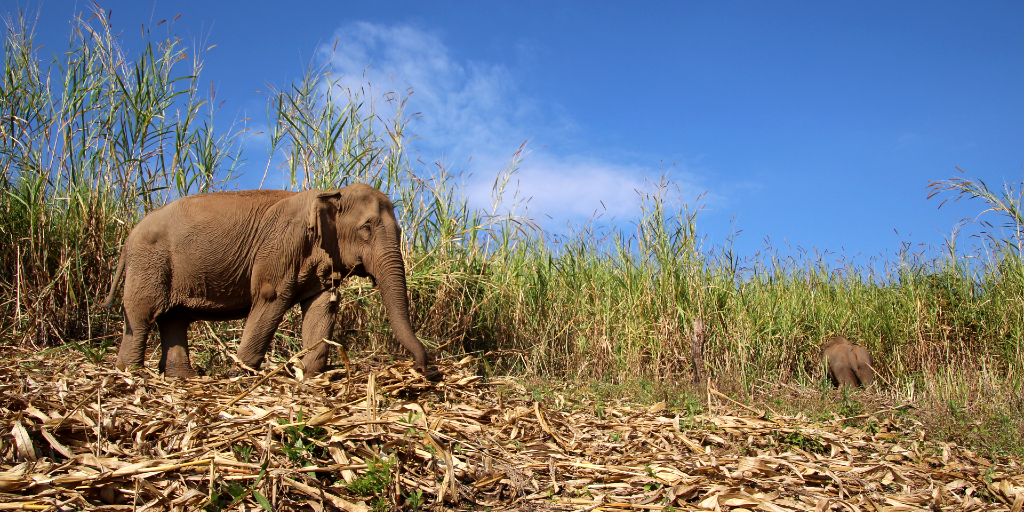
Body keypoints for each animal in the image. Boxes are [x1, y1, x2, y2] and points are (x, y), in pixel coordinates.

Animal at [100, 185, 428, 380]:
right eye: (367, 228)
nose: (422, 369)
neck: (329, 191)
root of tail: (129, 236)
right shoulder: (282, 245)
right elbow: (271, 297)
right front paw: (242, 373)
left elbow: (322, 308)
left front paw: (308, 374)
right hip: (150, 262)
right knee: (142, 314)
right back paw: (131, 373)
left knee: (173, 318)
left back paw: (183, 378)